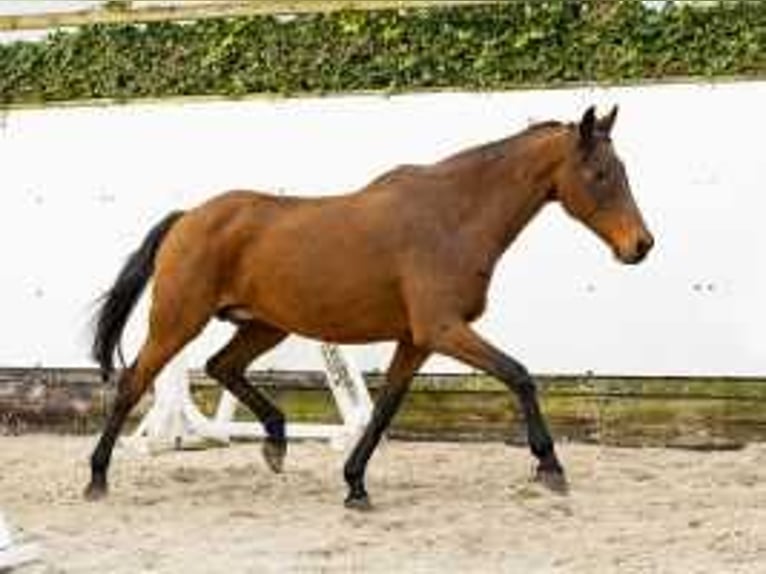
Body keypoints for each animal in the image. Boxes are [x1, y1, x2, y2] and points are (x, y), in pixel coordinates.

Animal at [88, 106, 656, 510]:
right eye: (600, 173)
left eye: (623, 170)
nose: (641, 245)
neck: (453, 217)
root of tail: (189, 217)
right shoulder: (444, 329)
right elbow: (519, 375)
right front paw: (551, 467)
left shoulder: (417, 340)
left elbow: (385, 410)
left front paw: (355, 485)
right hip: (177, 322)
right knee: (133, 382)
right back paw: (97, 477)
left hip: (265, 326)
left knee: (221, 365)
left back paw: (276, 440)